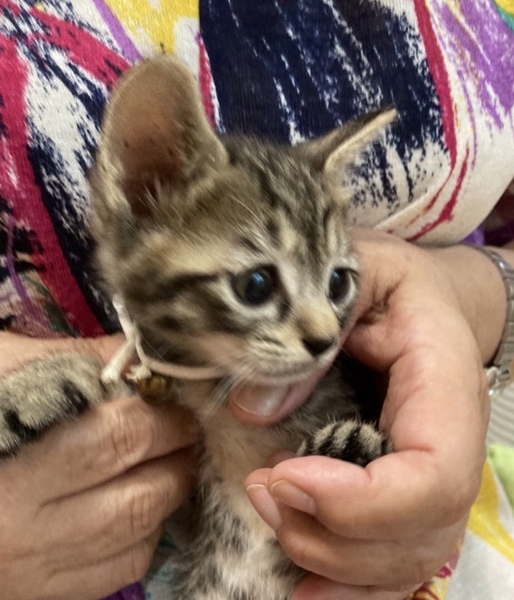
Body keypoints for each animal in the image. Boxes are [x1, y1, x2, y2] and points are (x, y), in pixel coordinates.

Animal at [0, 55, 395, 599]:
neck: (217, 395)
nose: (325, 342)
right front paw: (35, 386)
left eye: (338, 282)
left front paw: (353, 446)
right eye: (256, 284)